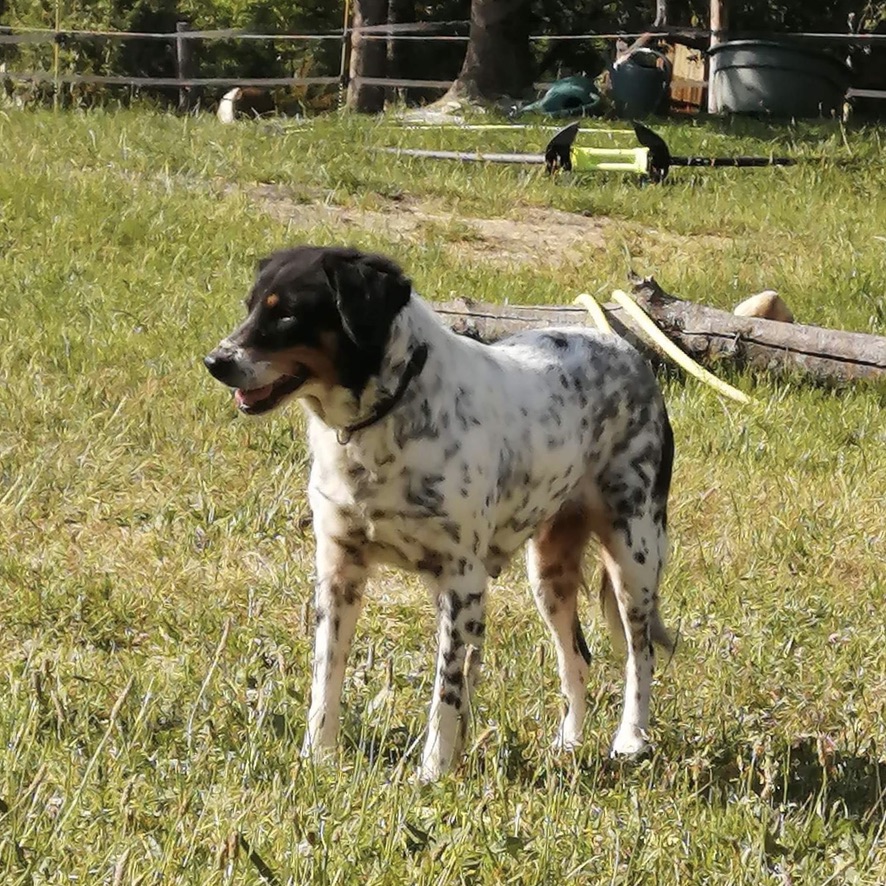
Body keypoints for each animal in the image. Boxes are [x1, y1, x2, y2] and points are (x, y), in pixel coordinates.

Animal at [205, 246, 676, 780]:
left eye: (286, 313)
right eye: (250, 307)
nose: (215, 362)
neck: (384, 422)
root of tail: (628, 352)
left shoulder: (462, 581)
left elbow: (446, 694)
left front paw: (433, 771)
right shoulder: (338, 569)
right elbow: (327, 678)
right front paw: (318, 757)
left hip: (633, 556)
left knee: (640, 655)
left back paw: (630, 739)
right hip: (548, 573)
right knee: (576, 659)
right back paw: (569, 743)